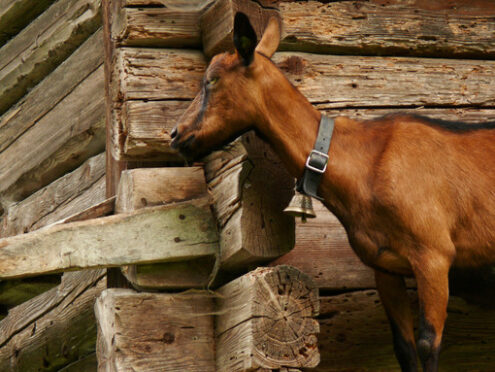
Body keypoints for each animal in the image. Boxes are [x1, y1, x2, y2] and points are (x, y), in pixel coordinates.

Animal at [170, 13, 495, 370]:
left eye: (212, 80)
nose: (175, 134)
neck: (365, 162)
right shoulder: (383, 266)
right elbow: (405, 348)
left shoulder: (434, 254)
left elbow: (428, 345)